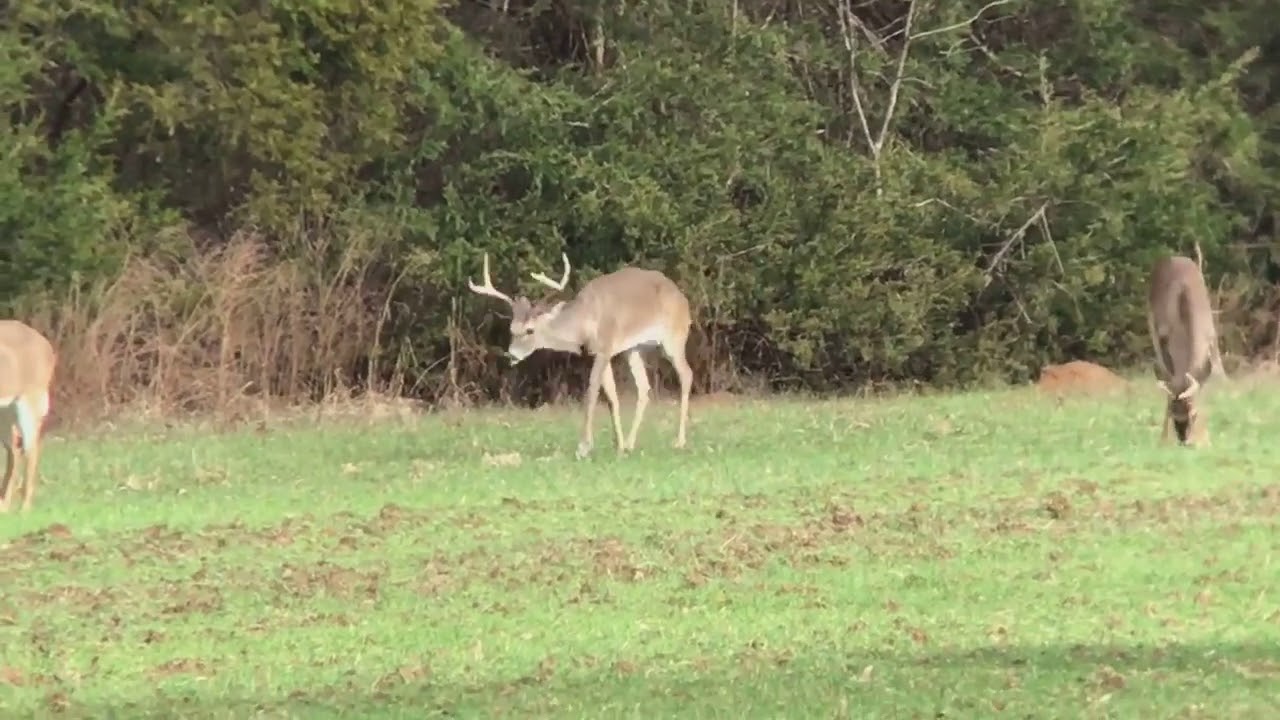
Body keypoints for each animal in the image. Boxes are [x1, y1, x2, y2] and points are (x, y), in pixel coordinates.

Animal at [0, 319, 57, 511]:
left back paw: (24, 508)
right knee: (15, 450)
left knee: (31, 448)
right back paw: (5, 505)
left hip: (29, 400)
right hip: (7, 411)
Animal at [467, 252, 694, 459]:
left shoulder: (604, 348)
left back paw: (680, 441)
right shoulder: (598, 352)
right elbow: (611, 397)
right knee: (644, 387)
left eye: (530, 330)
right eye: (512, 329)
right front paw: (618, 446)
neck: (584, 324)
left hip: (674, 337)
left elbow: (591, 393)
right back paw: (630, 444)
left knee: (686, 374)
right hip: (633, 348)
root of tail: (684, 301)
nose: (512, 355)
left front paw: (584, 447)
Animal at [1147, 253, 1227, 446]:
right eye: (1173, 412)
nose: (1183, 440)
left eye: (1193, 413)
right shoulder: (1163, 342)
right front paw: (1163, 439)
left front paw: (1205, 438)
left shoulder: (1209, 340)